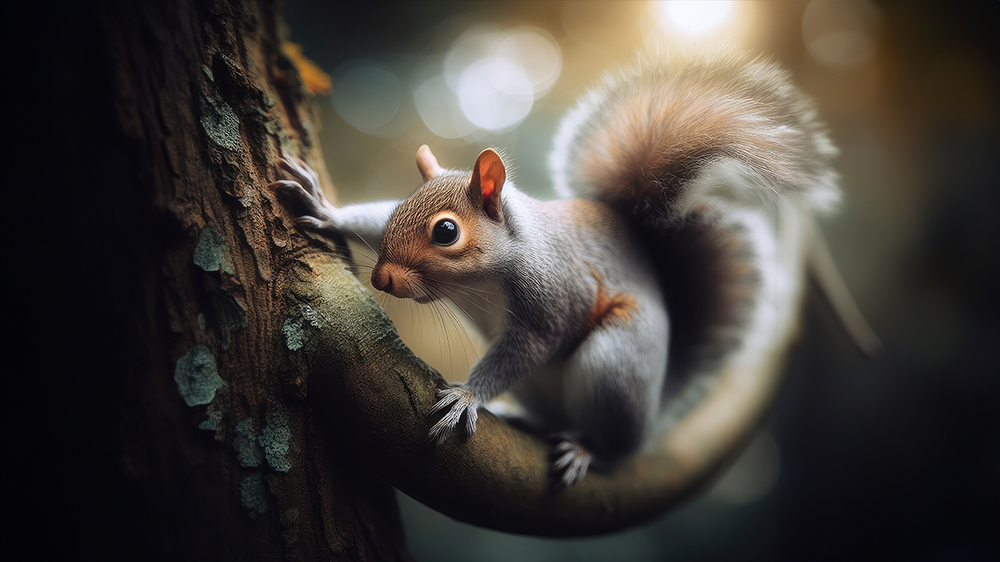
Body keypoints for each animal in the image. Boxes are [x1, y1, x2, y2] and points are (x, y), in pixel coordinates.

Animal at [270, 49, 842, 487]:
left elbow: (533, 343)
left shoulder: (551, 297)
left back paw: (590, 450)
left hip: (617, 361)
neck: (489, 273)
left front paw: (467, 397)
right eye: (395, 212)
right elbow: (362, 221)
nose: (381, 279)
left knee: (615, 444)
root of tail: (653, 412)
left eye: (446, 232)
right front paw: (324, 209)